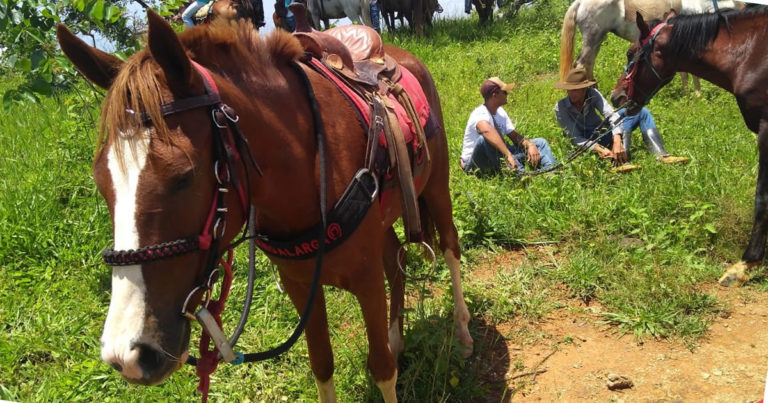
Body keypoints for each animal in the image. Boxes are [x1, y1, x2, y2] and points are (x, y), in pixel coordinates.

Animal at [54, 8, 472, 400]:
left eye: (184, 175)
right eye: (101, 181)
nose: (128, 354)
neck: (311, 168)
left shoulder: (367, 280)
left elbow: (382, 368)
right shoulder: (300, 285)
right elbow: (322, 364)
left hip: (437, 188)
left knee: (450, 246)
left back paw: (464, 332)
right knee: (397, 265)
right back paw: (398, 336)